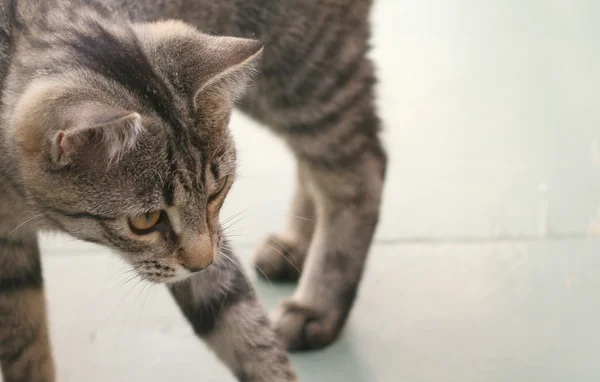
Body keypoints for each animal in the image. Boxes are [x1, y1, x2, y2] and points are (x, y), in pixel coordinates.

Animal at [0, 0, 384, 380]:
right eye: (145, 220)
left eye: (217, 191)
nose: (202, 263)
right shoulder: (10, 255)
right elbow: (25, 346)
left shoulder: (209, 243)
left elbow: (239, 322)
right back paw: (296, 246)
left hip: (306, 70)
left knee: (362, 170)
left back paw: (317, 305)